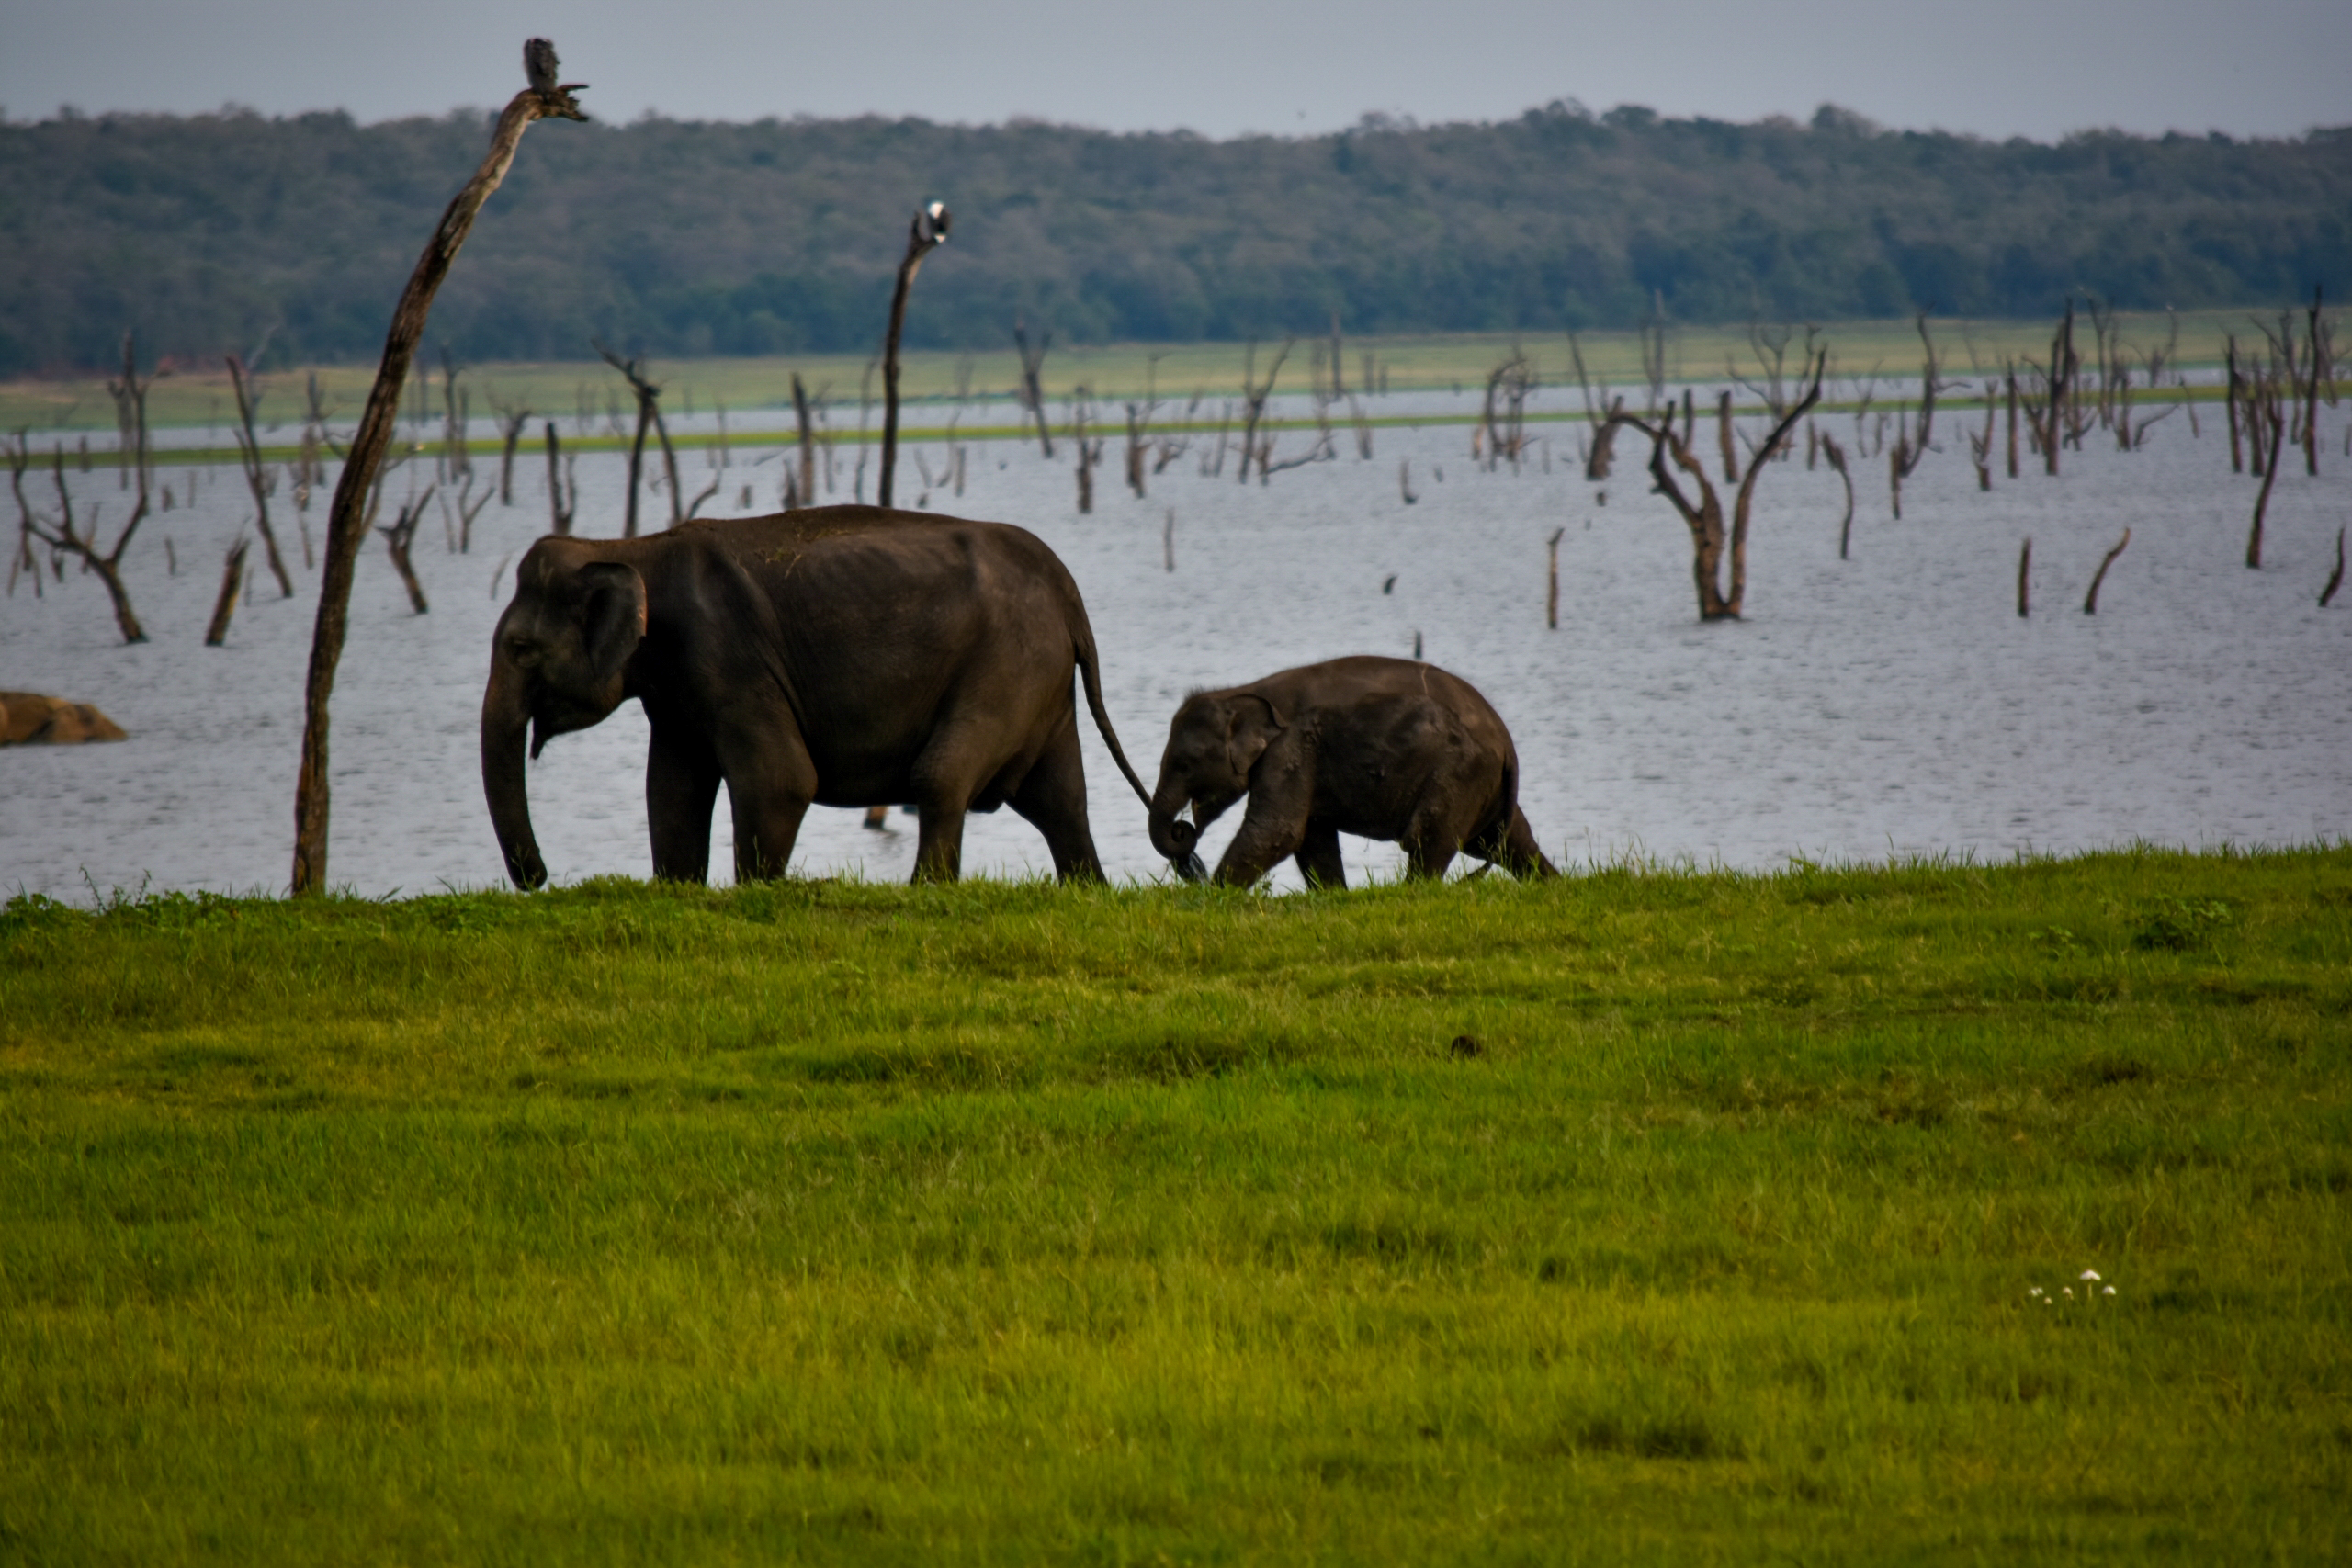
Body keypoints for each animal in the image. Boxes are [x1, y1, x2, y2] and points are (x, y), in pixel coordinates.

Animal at [481, 510, 1161, 888]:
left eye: (520, 648)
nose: (539, 878)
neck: (630, 548)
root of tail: (1066, 586)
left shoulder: (728, 659)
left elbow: (781, 780)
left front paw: (756, 892)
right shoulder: (677, 689)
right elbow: (671, 790)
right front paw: (674, 887)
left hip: (1005, 666)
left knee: (943, 779)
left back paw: (925, 893)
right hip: (1039, 682)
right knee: (1061, 801)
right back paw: (1088, 890)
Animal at [1143, 658, 1552, 888]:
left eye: (1184, 764)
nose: (1183, 831)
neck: (1241, 691)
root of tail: (1506, 741)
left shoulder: (1289, 749)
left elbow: (1276, 832)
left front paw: (1211, 900)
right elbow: (1313, 838)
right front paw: (1333, 896)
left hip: (1459, 773)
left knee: (1428, 837)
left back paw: (1413, 894)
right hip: (1486, 787)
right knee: (1510, 841)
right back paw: (1551, 885)